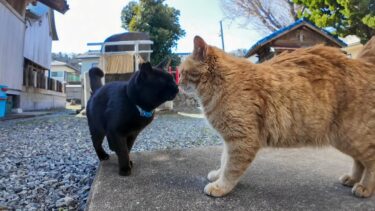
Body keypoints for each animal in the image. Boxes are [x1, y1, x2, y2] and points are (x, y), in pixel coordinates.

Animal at [178, 35, 375, 198]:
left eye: (183, 72)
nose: (178, 83)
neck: (220, 84)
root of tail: (361, 63)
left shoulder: (242, 139)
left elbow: (231, 169)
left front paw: (220, 187)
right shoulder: (230, 140)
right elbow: (224, 160)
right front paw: (217, 175)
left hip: (351, 136)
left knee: (370, 160)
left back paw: (364, 187)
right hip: (345, 140)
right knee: (359, 161)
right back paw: (352, 178)